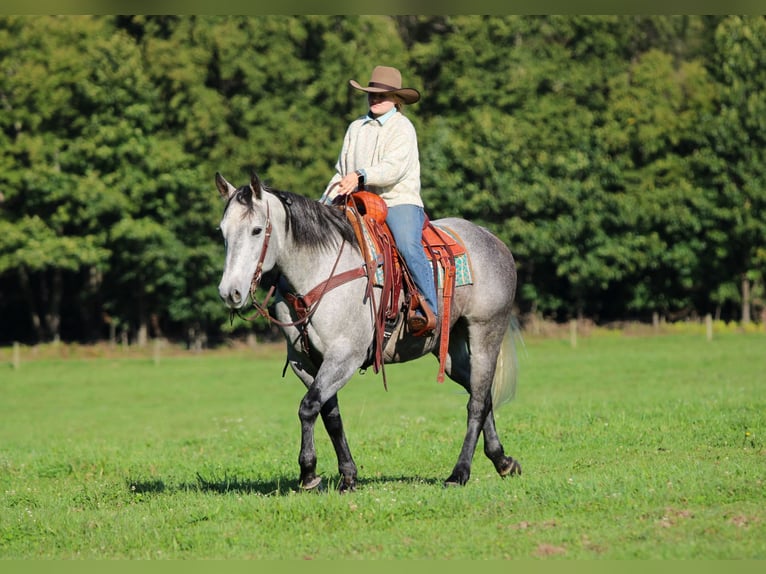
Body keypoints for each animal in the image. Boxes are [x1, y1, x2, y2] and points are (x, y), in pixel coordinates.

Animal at [215, 171, 522, 491]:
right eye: (222, 231)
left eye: (256, 230)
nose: (229, 292)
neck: (319, 272)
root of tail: (493, 240)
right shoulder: (306, 362)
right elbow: (329, 413)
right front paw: (347, 475)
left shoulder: (344, 356)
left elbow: (308, 406)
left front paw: (309, 473)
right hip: (450, 351)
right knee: (481, 393)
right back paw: (502, 461)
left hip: (486, 333)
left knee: (476, 402)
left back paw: (459, 473)